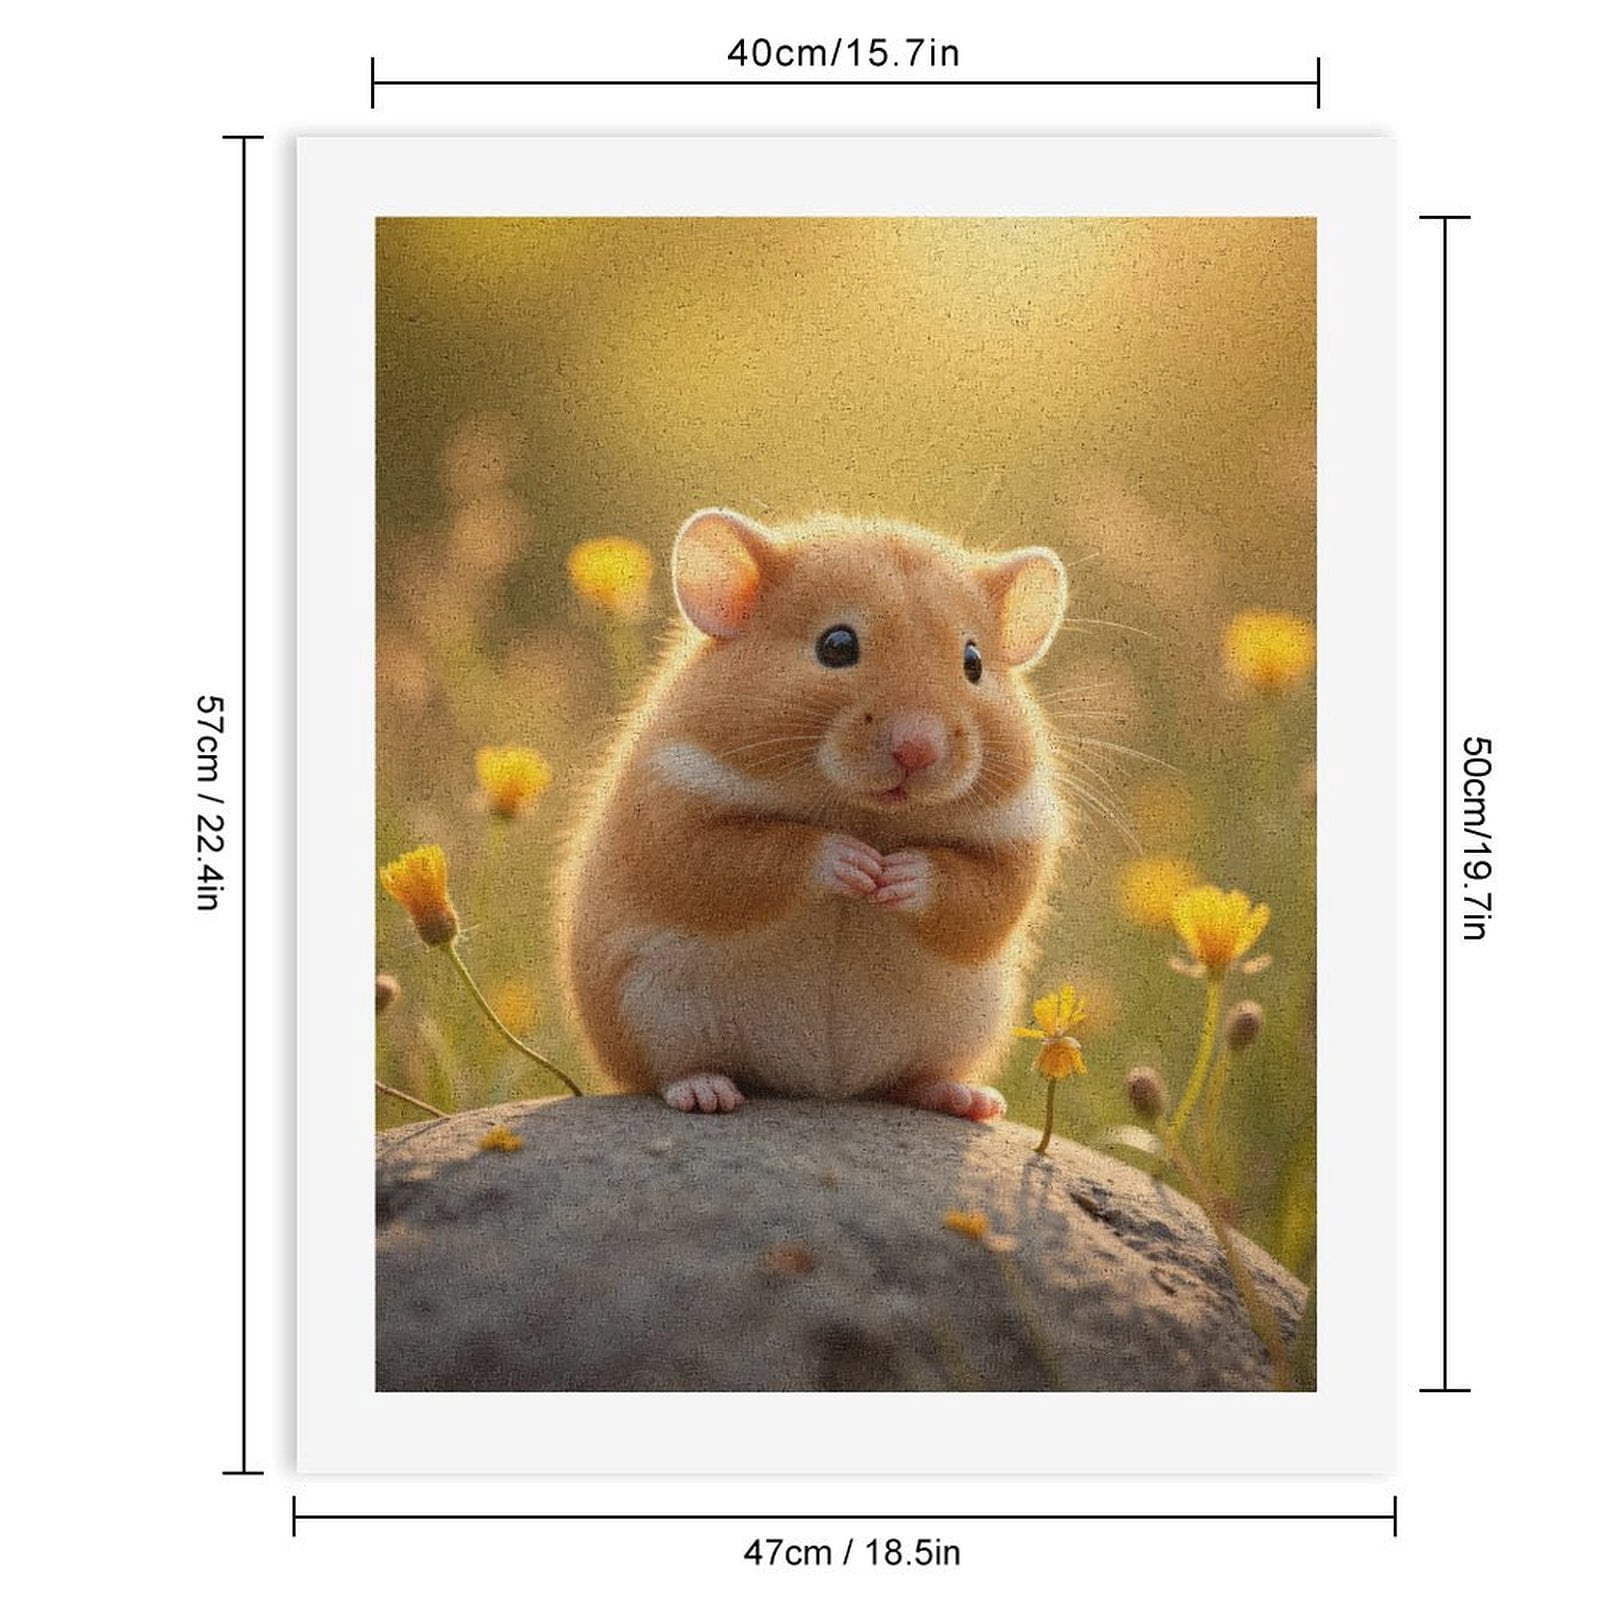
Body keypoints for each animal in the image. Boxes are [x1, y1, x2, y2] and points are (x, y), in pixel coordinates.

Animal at [556, 508, 1069, 1120]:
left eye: (973, 663)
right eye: (837, 645)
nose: (917, 750)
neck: (866, 811)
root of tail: (824, 1084)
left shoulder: (1017, 840)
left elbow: (979, 891)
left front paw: (892, 876)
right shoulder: (674, 811)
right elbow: (754, 856)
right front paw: (859, 866)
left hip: (961, 1027)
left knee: (907, 1080)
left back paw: (972, 1101)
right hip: (649, 1010)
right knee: (671, 1072)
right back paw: (708, 1093)